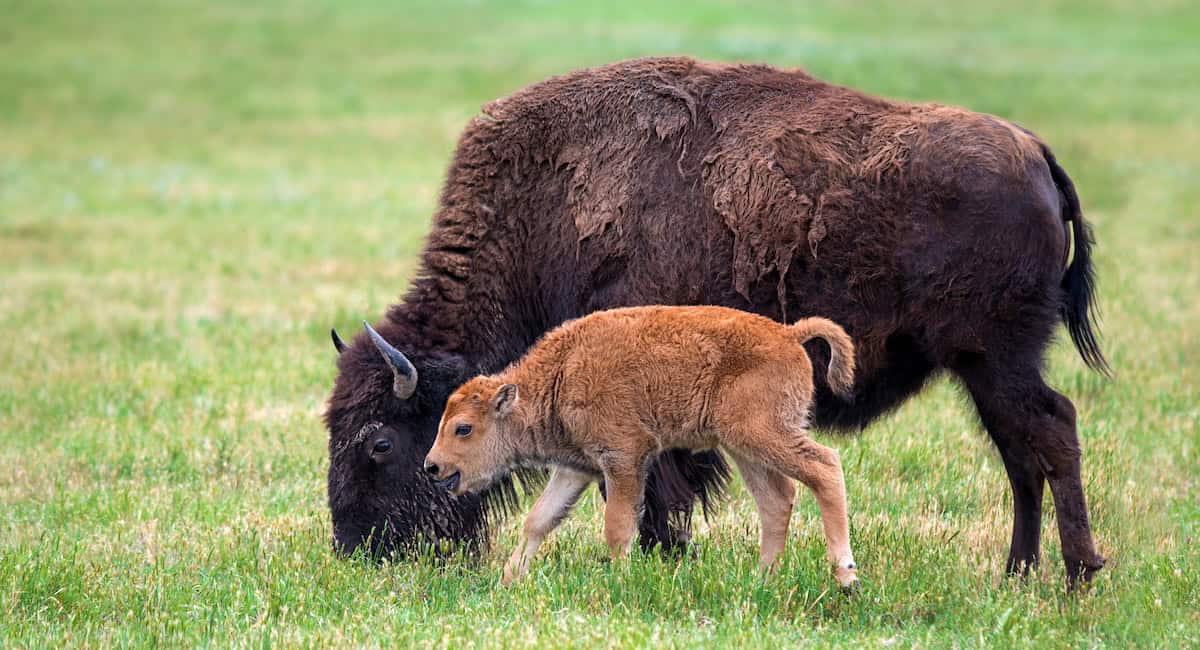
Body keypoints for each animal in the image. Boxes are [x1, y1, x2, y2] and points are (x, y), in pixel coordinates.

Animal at [325, 56, 1107, 585]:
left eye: (379, 443)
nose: (357, 549)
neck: (542, 207)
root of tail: (1036, 153)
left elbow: (652, 490)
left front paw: (663, 557)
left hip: (995, 357)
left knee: (1050, 431)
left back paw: (1076, 575)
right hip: (982, 369)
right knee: (1020, 452)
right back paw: (1018, 572)